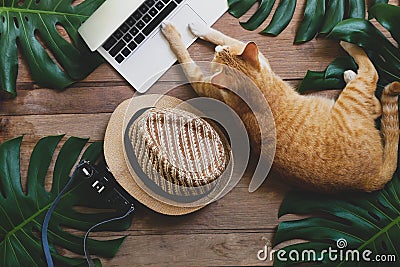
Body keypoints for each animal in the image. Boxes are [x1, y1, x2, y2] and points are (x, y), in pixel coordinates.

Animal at [160, 21, 400, 193]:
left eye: (217, 57)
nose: (218, 51)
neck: (258, 86)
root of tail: (371, 179)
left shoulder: (207, 81)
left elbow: (197, 51)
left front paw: (186, 32)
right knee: (376, 105)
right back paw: (350, 74)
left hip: (352, 97)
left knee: (372, 73)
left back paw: (349, 44)